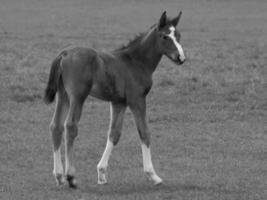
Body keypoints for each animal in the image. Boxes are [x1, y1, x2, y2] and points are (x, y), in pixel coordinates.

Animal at [44, 10, 186, 189]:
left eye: (178, 35)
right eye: (165, 36)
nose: (181, 57)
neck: (135, 62)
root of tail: (64, 54)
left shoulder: (119, 102)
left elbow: (114, 133)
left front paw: (101, 173)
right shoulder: (137, 100)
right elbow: (144, 132)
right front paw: (153, 175)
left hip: (63, 96)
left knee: (55, 126)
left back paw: (59, 176)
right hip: (77, 96)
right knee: (70, 126)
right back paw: (71, 176)